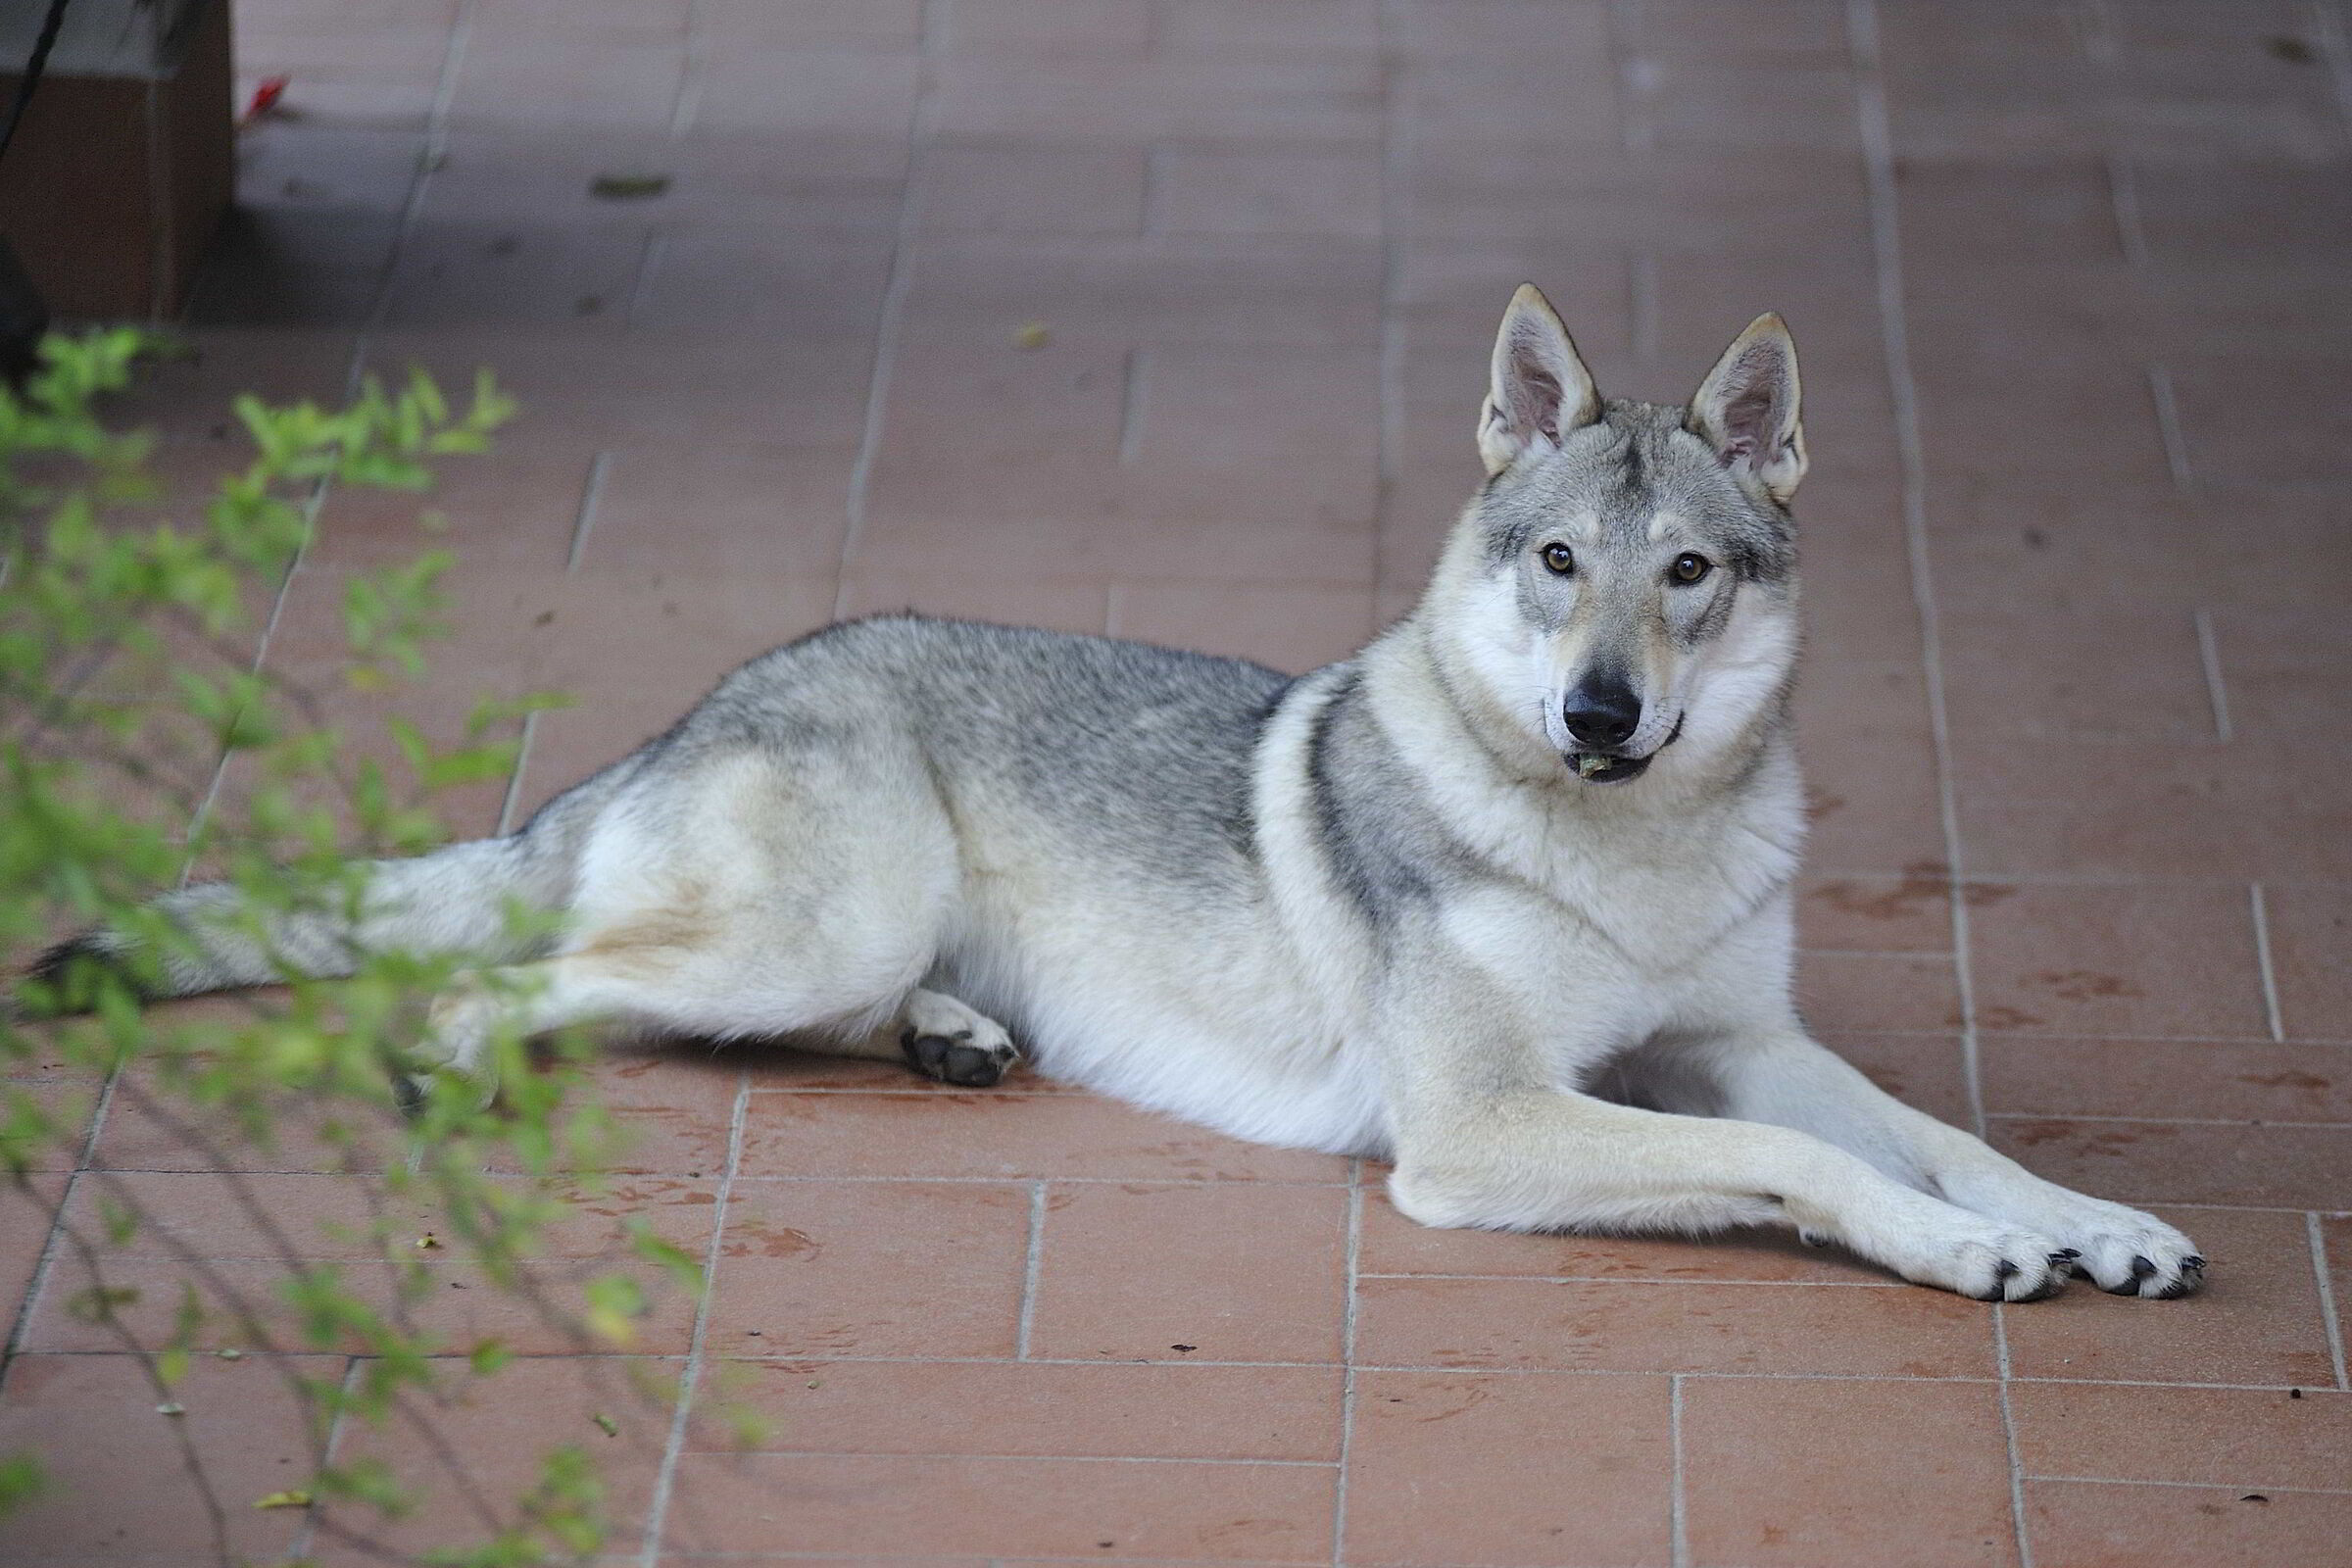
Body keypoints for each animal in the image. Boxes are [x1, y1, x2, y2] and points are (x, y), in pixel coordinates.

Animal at [30, 286, 2203, 1302]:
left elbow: (1943, 1130)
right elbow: (1809, 1167)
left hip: (829, 946)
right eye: (1555, 564)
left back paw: (953, 1036)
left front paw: (2093, 1221)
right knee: (506, 986)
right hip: (810, 920)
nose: (1600, 715)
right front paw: (1962, 1252)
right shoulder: (1486, 1130)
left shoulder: (1741, 1043)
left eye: (1687, 573)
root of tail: (676, 716)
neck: (1629, 852)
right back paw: (459, 1072)